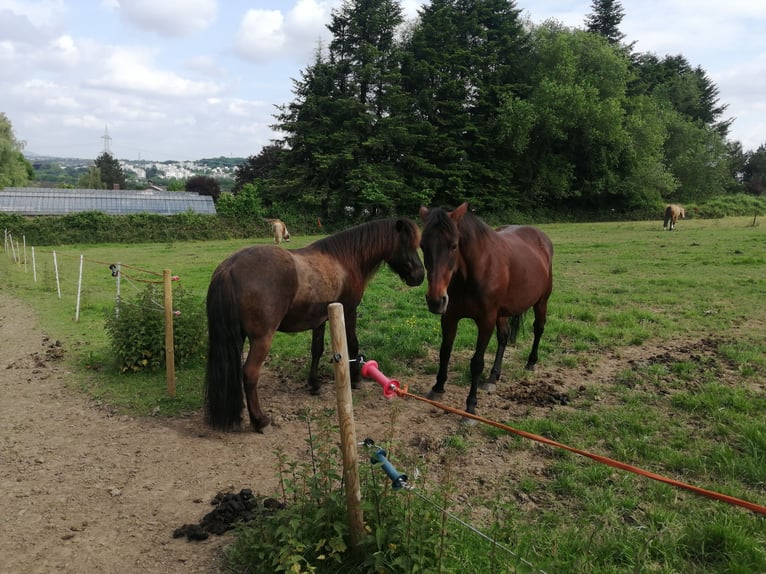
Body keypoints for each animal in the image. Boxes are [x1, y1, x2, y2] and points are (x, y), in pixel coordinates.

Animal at [204, 218, 426, 434]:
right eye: (407, 244)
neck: (345, 260)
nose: (420, 276)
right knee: (249, 374)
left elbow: (316, 350)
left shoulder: (319, 320)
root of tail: (229, 268)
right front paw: (355, 378)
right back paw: (260, 421)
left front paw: (314, 384)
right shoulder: (349, 312)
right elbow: (353, 345)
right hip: (262, 339)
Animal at [416, 205, 556, 420]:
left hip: (541, 301)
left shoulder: (486, 321)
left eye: (453, 246)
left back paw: (531, 362)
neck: (473, 273)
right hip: (502, 313)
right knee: (504, 336)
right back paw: (492, 377)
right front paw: (438, 388)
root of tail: (542, 239)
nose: (435, 300)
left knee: (538, 328)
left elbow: (476, 363)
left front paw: (470, 408)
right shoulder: (449, 318)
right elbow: (445, 352)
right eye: (422, 246)